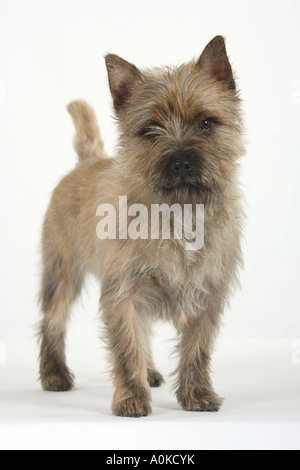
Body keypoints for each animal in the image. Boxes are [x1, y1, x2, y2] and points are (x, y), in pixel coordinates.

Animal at [38, 37, 244, 418]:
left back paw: (148, 372)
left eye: (206, 123)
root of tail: (87, 161)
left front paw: (197, 394)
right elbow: (125, 347)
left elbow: (196, 349)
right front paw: (131, 398)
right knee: (53, 321)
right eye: (150, 130)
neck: (180, 214)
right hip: (63, 275)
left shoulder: (207, 296)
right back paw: (55, 375)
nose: (181, 162)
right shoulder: (123, 292)